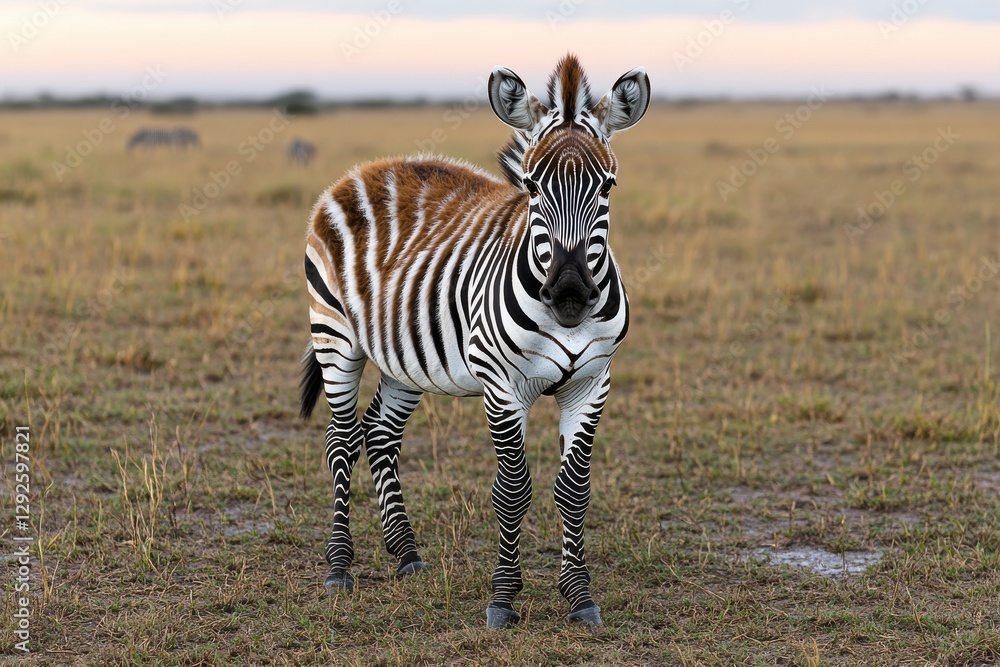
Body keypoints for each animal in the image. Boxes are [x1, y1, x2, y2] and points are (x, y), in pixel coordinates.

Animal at [298, 55, 650, 629]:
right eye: (531, 186)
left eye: (608, 187)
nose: (570, 293)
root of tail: (368, 168)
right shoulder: (502, 384)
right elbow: (512, 489)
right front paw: (503, 598)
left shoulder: (593, 382)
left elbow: (573, 490)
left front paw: (579, 595)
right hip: (335, 335)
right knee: (340, 439)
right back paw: (340, 566)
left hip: (404, 358)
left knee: (380, 435)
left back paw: (406, 553)